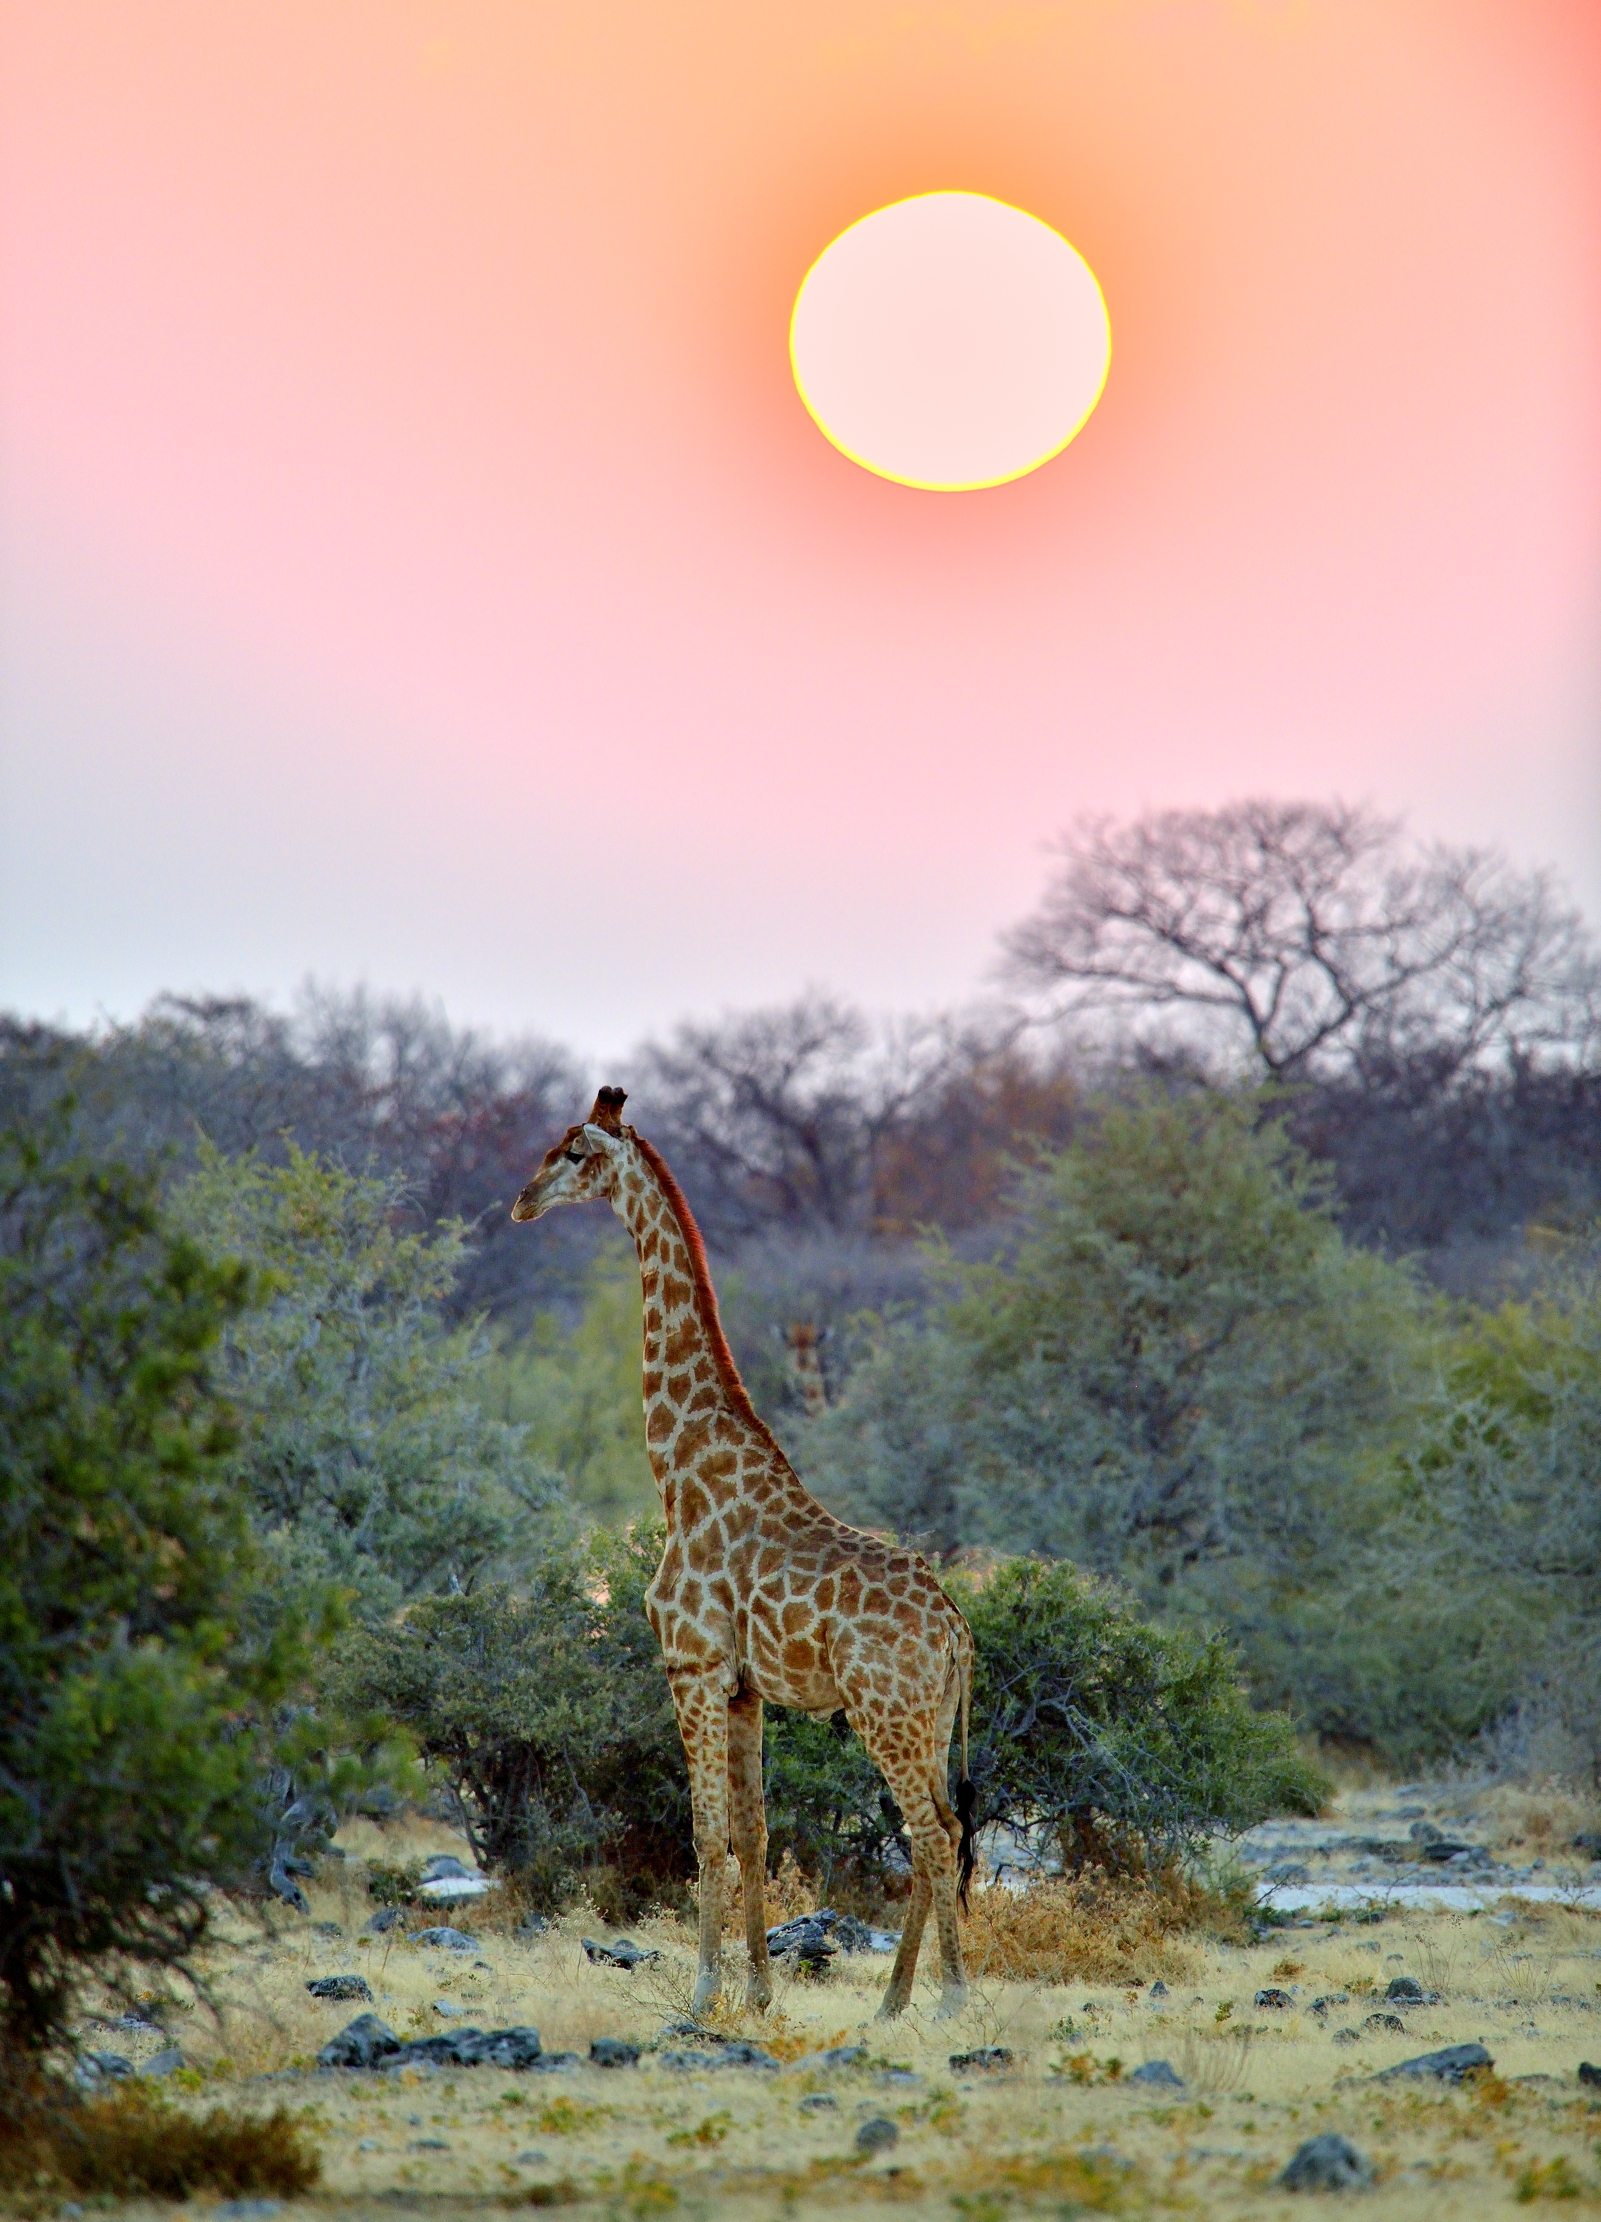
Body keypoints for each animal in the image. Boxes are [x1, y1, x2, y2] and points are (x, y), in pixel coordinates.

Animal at [512, 1087, 976, 2020]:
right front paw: (760, 1992)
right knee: (938, 1828)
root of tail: (954, 1629)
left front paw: (701, 1993)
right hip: (930, 1719)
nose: (522, 1200)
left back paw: (944, 2000)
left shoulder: (688, 1664)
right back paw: (892, 2002)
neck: (678, 1470)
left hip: (885, 1713)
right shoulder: (743, 1687)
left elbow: (706, 1833)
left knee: (934, 1835)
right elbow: (756, 1834)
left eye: (574, 1153)